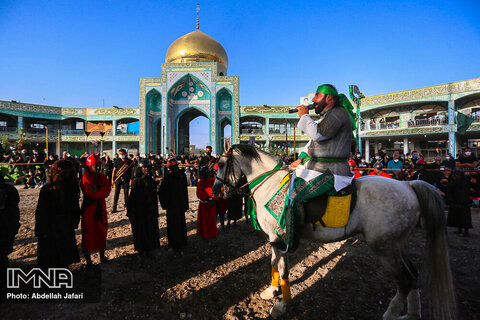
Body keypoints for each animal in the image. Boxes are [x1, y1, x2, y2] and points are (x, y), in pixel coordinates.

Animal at [212, 144, 456, 320]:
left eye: (222, 163)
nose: (215, 190)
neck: (271, 185)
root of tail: (408, 185)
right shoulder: (274, 239)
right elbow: (273, 264)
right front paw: (271, 291)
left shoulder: (281, 239)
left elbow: (283, 271)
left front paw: (282, 305)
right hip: (397, 244)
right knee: (413, 275)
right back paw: (412, 314)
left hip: (385, 249)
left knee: (404, 280)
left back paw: (390, 313)